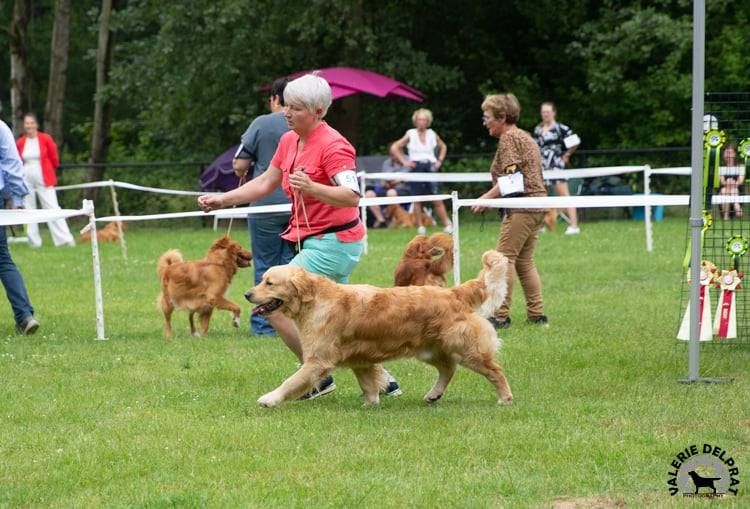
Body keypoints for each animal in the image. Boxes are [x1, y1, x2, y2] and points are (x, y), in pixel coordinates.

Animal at [246, 250, 511, 407]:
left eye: (269, 282)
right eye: (262, 280)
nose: (247, 294)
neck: (315, 301)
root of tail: (454, 292)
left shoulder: (318, 360)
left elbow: (291, 381)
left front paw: (270, 398)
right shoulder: (360, 358)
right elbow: (368, 383)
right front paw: (370, 404)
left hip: (466, 348)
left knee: (494, 370)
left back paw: (505, 397)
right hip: (430, 349)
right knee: (448, 368)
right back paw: (433, 394)